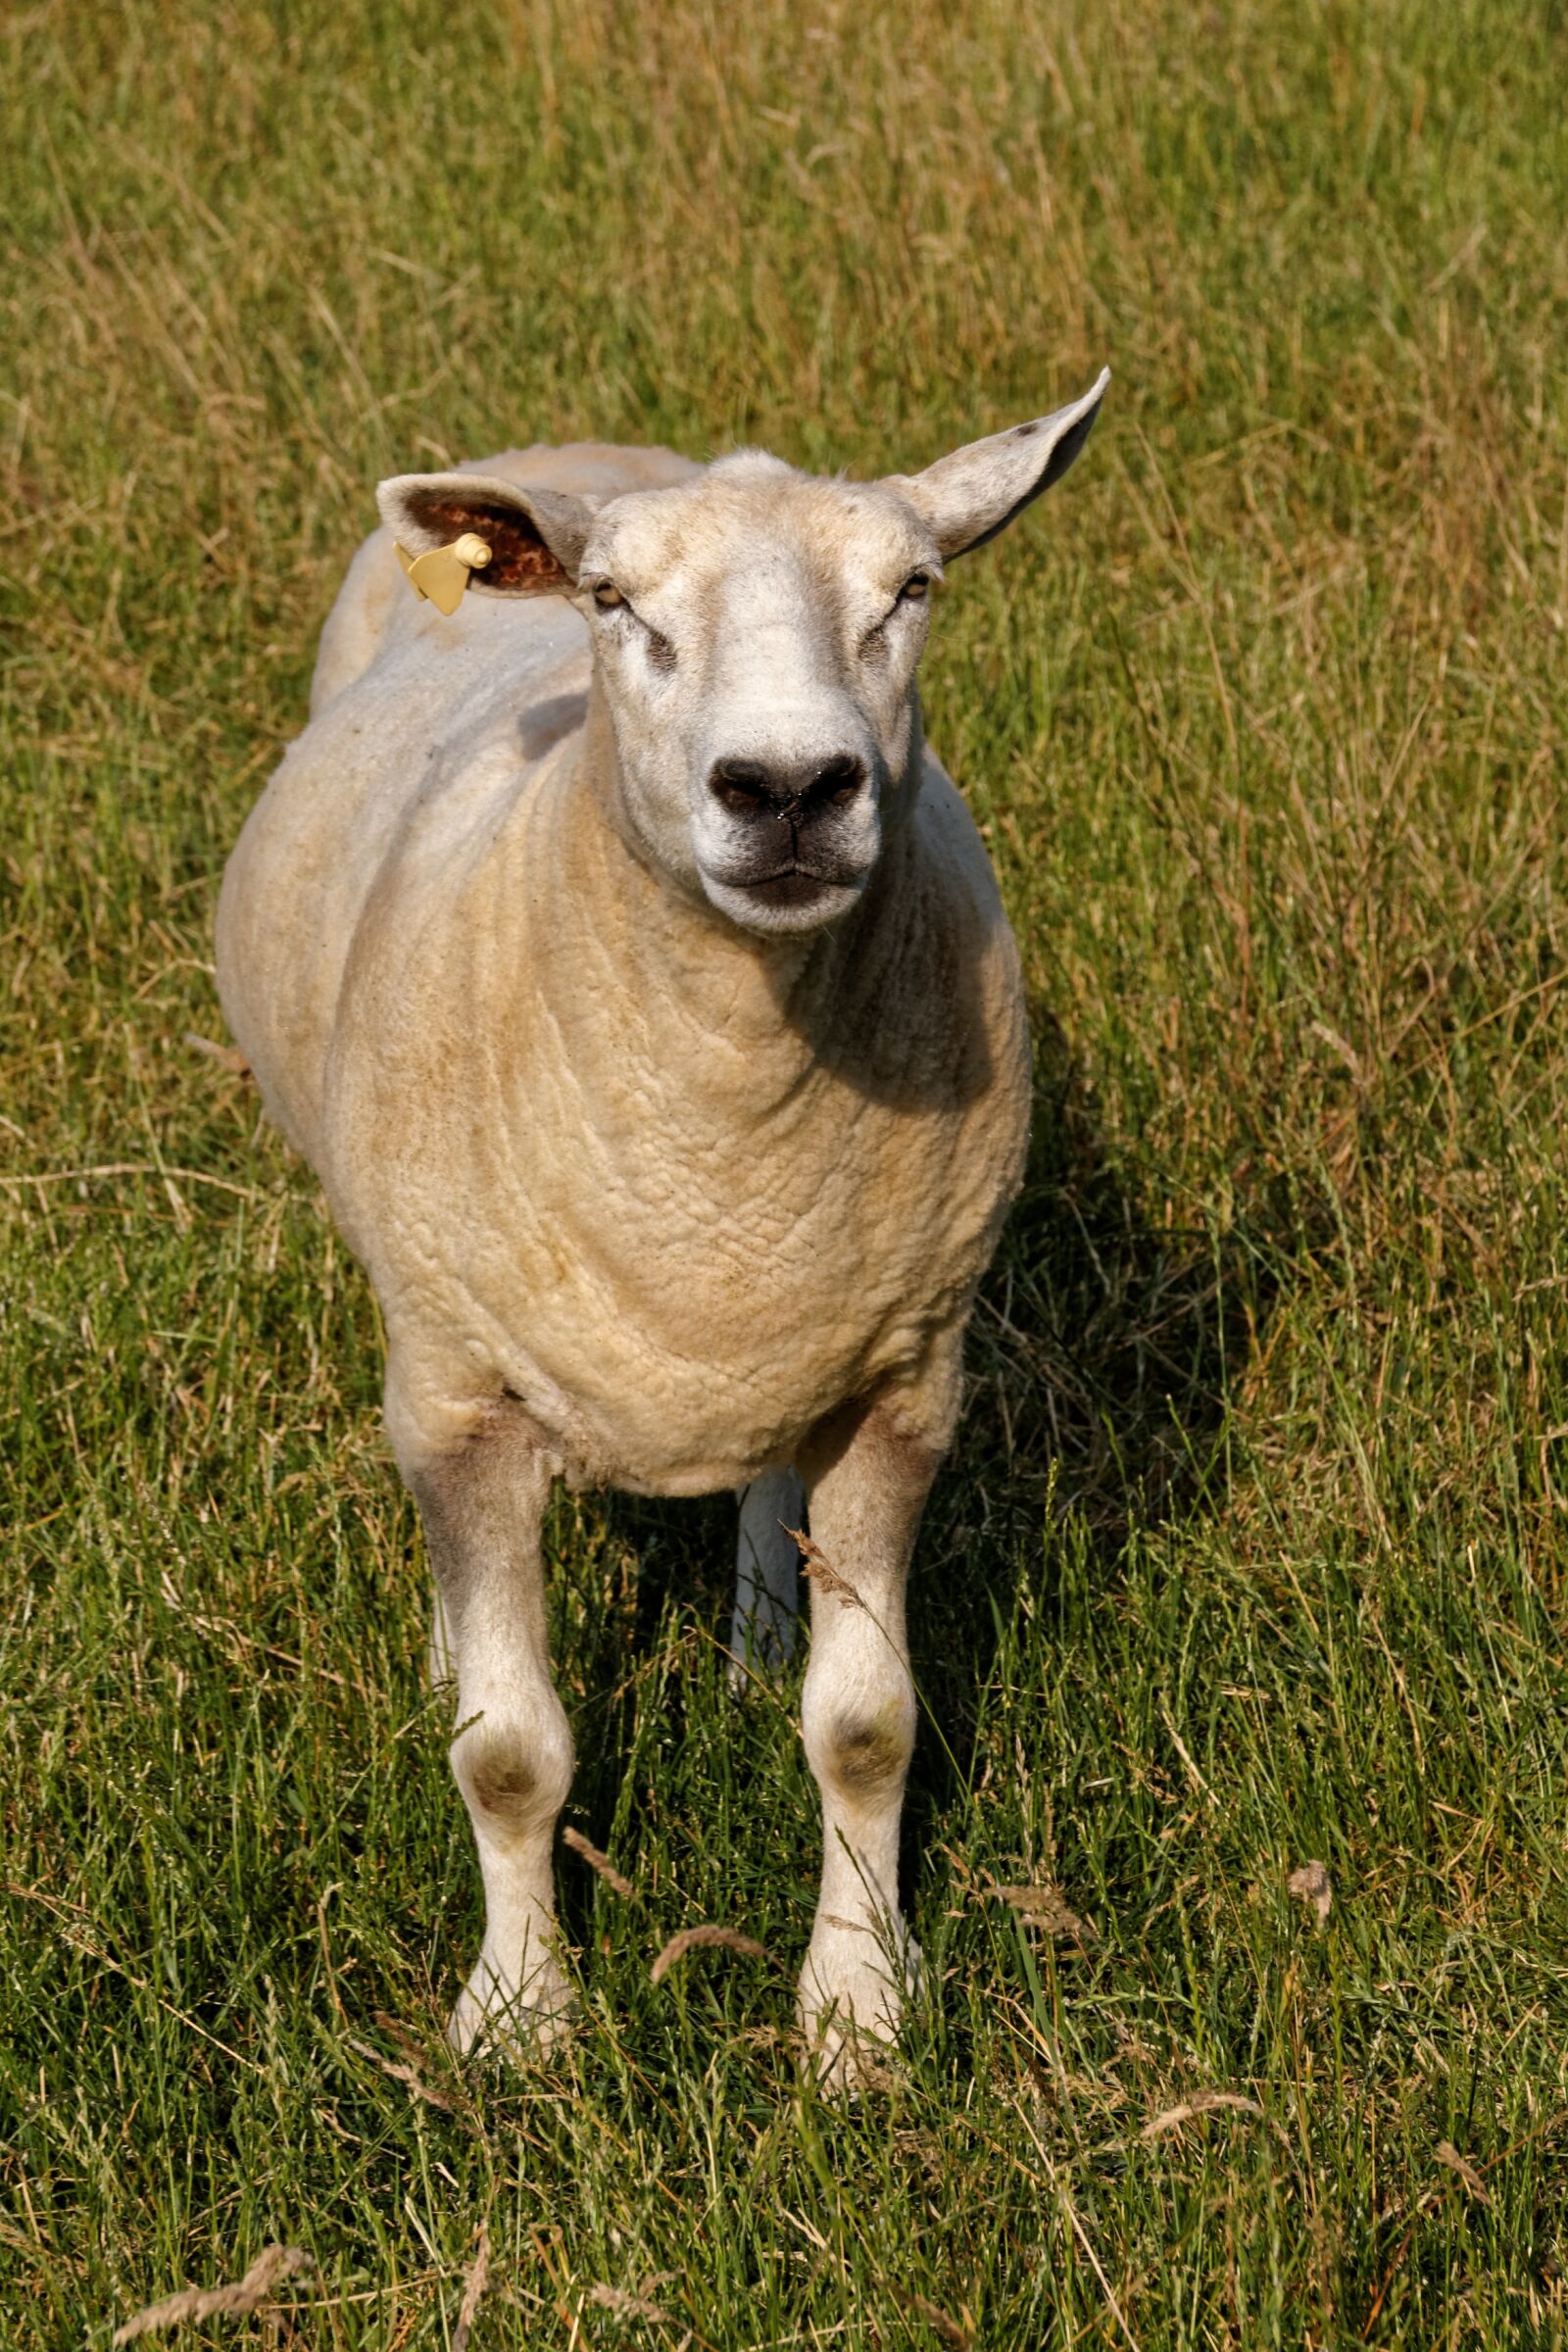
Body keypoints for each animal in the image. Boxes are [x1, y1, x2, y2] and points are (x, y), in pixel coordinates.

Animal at [215, 375, 1109, 2080]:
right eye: (615, 605)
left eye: (912, 591)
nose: (789, 790)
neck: (727, 1103)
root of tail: (572, 451)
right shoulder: (463, 1396)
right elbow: (507, 1756)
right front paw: (517, 2024)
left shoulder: (905, 1380)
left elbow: (869, 1727)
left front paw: (859, 2016)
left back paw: (758, 1636)